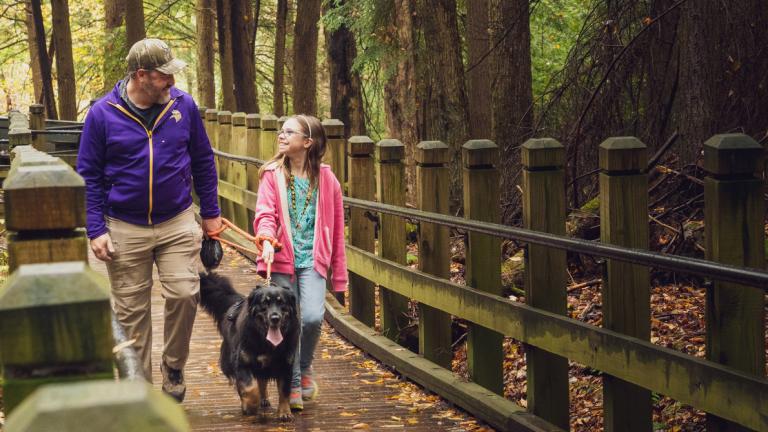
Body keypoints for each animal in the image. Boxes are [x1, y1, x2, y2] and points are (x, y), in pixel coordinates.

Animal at [200, 272, 298, 420]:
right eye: (264, 303)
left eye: (282, 303)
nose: (275, 318)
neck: (266, 341)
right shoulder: (242, 363)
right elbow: (249, 388)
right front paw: (250, 405)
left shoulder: (286, 364)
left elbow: (284, 390)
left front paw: (285, 412)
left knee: (262, 381)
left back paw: (264, 399)